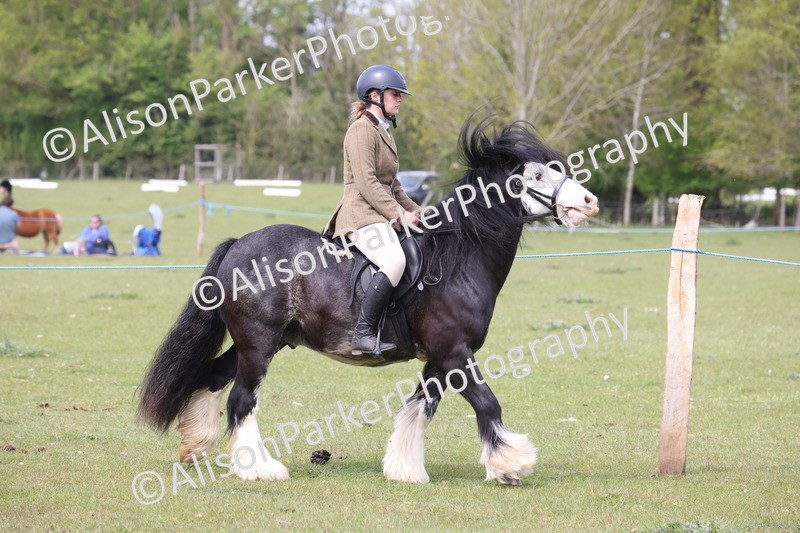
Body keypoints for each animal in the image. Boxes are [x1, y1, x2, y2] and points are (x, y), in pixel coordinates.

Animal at [137, 116, 600, 485]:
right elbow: (487, 402)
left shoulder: (439, 358)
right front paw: (509, 466)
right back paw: (260, 469)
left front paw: (405, 469)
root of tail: (239, 244)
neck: (458, 259)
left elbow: (419, 409)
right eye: (534, 177)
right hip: (258, 342)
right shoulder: (454, 352)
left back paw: (196, 447)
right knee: (242, 400)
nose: (589, 202)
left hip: (264, 341)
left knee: (214, 378)